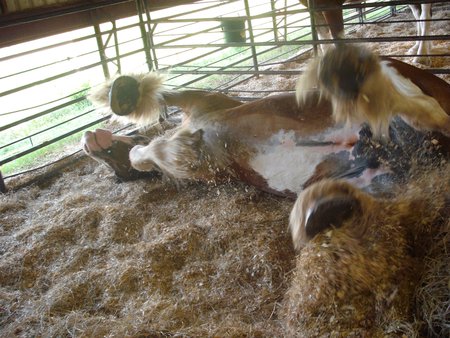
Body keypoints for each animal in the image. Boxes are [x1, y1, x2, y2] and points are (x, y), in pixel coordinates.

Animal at [82, 45, 448, 336]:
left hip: (397, 85)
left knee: (422, 108)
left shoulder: (208, 106)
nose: (89, 140)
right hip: (383, 177)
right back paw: (321, 206)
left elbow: (158, 121)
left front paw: (129, 101)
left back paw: (342, 71)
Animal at [298, 0, 432, 63]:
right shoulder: (314, 9)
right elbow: (323, 41)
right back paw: (419, 47)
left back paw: (421, 56)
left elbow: (338, 41)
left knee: (425, 15)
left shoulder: (331, 5)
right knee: (418, 15)